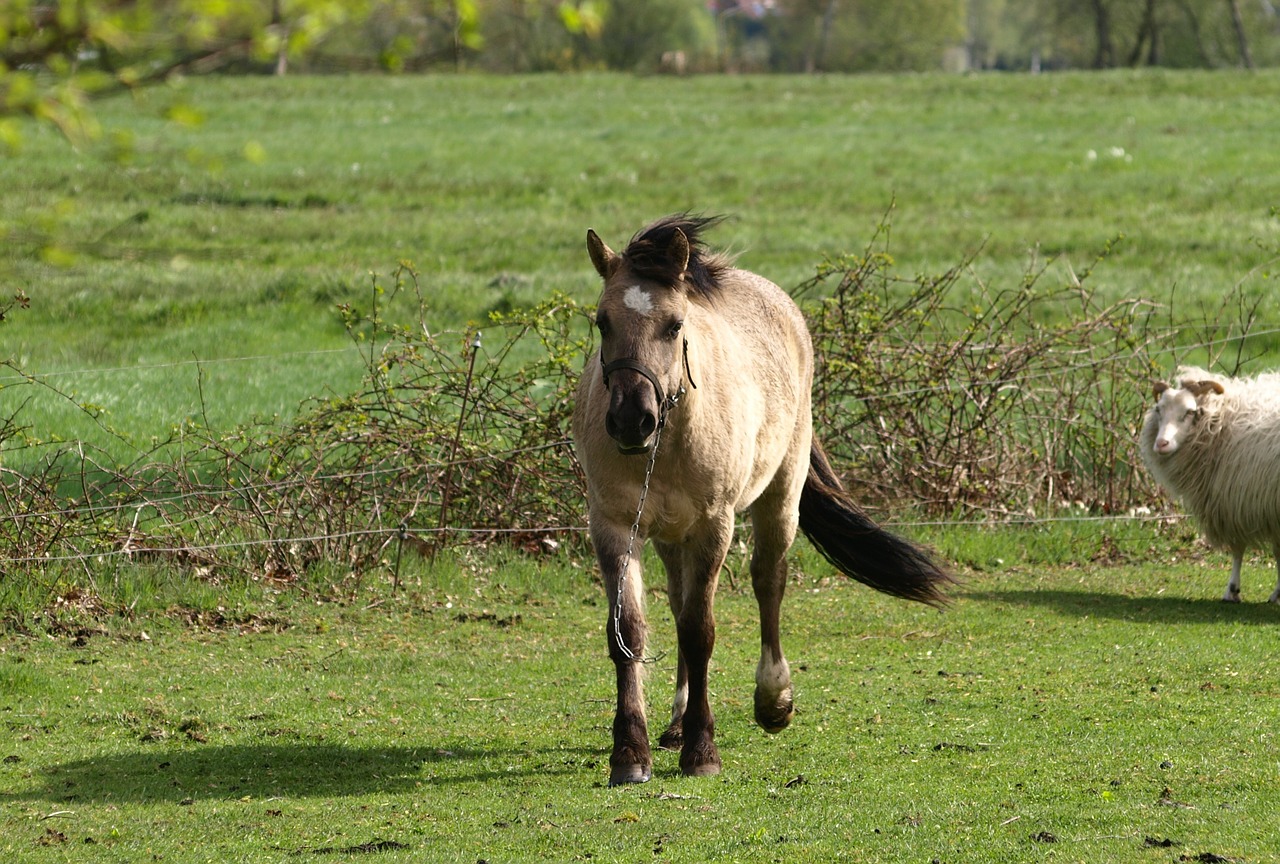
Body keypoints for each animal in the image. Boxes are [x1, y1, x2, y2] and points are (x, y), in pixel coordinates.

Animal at [570, 215, 952, 783]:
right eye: (602, 322)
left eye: (674, 326)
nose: (631, 420)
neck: (668, 439)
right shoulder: (615, 527)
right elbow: (630, 634)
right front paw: (630, 755)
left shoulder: (714, 525)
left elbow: (701, 631)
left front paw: (702, 751)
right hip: (670, 535)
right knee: (680, 601)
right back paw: (677, 723)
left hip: (780, 495)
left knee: (768, 582)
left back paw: (773, 701)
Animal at [1146, 368, 1280, 604]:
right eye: (1158, 409)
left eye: (1190, 412)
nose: (1161, 444)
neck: (1220, 420)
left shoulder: (1234, 502)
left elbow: (1238, 549)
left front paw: (1232, 590)